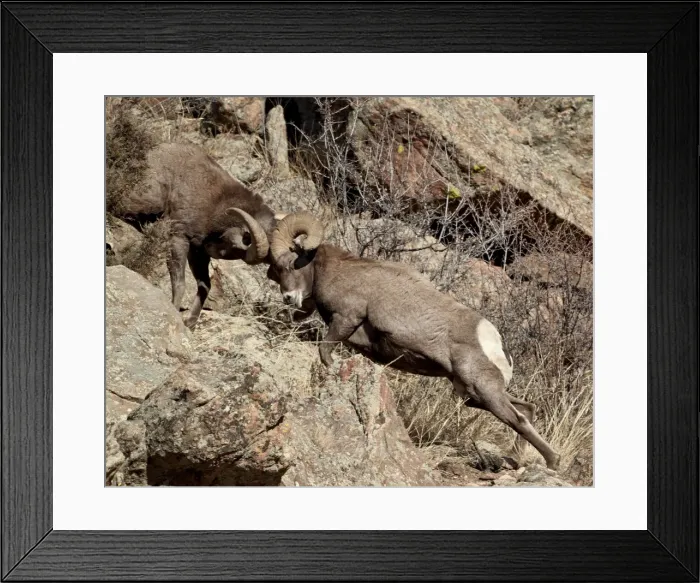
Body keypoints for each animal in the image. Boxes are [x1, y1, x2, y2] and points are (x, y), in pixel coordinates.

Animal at [120, 142, 285, 329]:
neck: (216, 204)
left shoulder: (198, 253)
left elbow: (204, 285)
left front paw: (190, 322)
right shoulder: (179, 239)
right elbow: (180, 283)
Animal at [266, 211, 561, 470]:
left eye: (290, 265)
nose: (288, 298)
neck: (340, 270)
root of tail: (496, 344)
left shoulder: (346, 319)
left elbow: (325, 353)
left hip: (482, 391)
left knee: (519, 419)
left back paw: (552, 462)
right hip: (471, 394)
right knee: (527, 409)